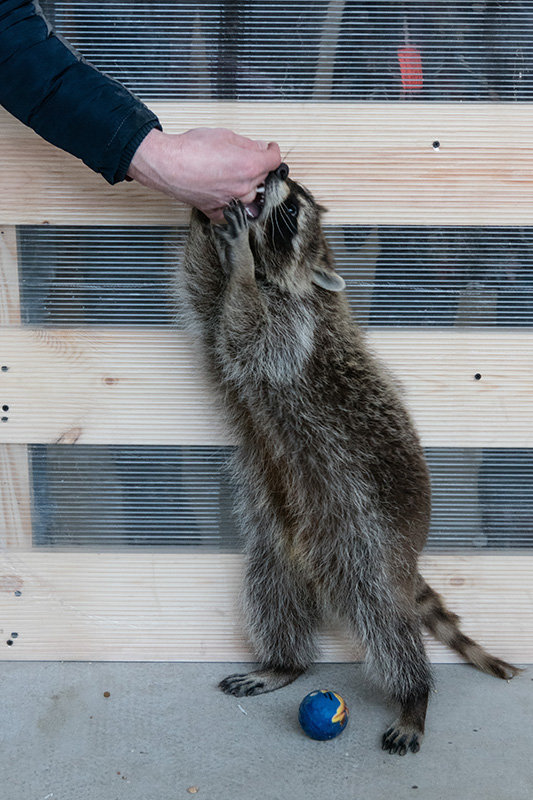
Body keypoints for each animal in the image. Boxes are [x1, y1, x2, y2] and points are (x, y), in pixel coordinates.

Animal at [177, 164, 516, 756]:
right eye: (291, 190)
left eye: (292, 211)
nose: (279, 168)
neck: (299, 278)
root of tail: (406, 555)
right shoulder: (228, 316)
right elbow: (204, 299)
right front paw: (204, 213)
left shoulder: (294, 330)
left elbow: (245, 331)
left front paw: (236, 256)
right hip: (281, 538)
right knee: (272, 593)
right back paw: (283, 662)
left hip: (365, 539)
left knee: (383, 620)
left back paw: (414, 695)